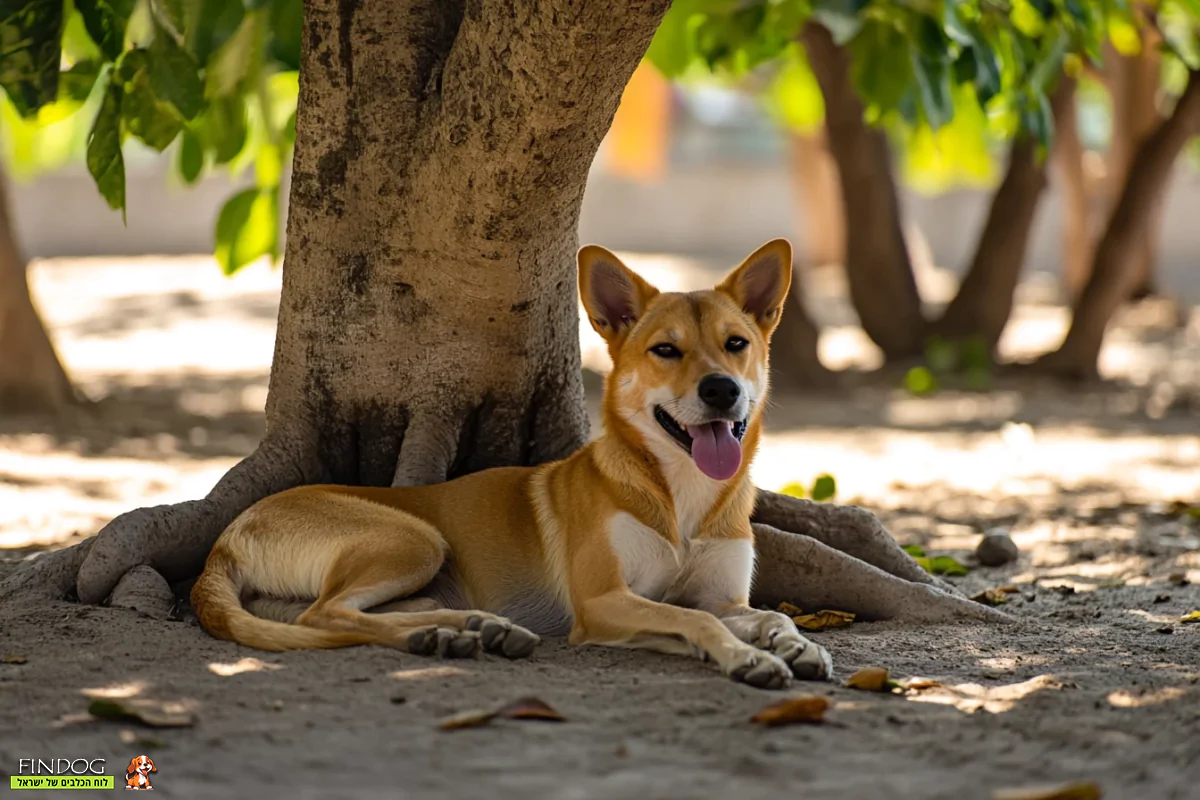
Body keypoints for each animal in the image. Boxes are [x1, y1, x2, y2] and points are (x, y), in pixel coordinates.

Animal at [194, 237, 835, 690]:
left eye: (736, 343)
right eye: (666, 350)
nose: (722, 390)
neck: (678, 494)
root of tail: (227, 536)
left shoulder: (722, 598)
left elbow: (768, 616)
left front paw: (796, 644)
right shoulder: (602, 602)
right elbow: (696, 623)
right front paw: (743, 657)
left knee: (345, 613)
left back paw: (467, 631)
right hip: (412, 537)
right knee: (324, 617)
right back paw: (457, 634)